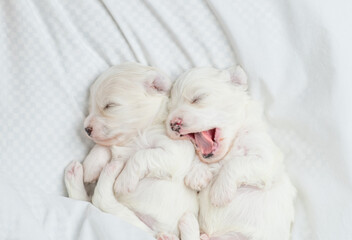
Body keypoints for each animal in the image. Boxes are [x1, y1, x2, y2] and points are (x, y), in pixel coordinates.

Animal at [64, 62, 199, 239]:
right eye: (89, 106)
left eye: (110, 105)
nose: (86, 129)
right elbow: (102, 146)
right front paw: (91, 167)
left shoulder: (176, 153)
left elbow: (142, 154)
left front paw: (124, 180)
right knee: (89, 200)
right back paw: (76, 174)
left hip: (138, 225)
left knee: (102, 200)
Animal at [166, 64, 296, 239]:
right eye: (169, 108)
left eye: (198, 98)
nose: (173, 124)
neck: (233, 142)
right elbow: (204, 158)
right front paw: (197, 174)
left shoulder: (266, 160)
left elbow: (236, 163)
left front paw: (219, 193)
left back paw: (187, 222)